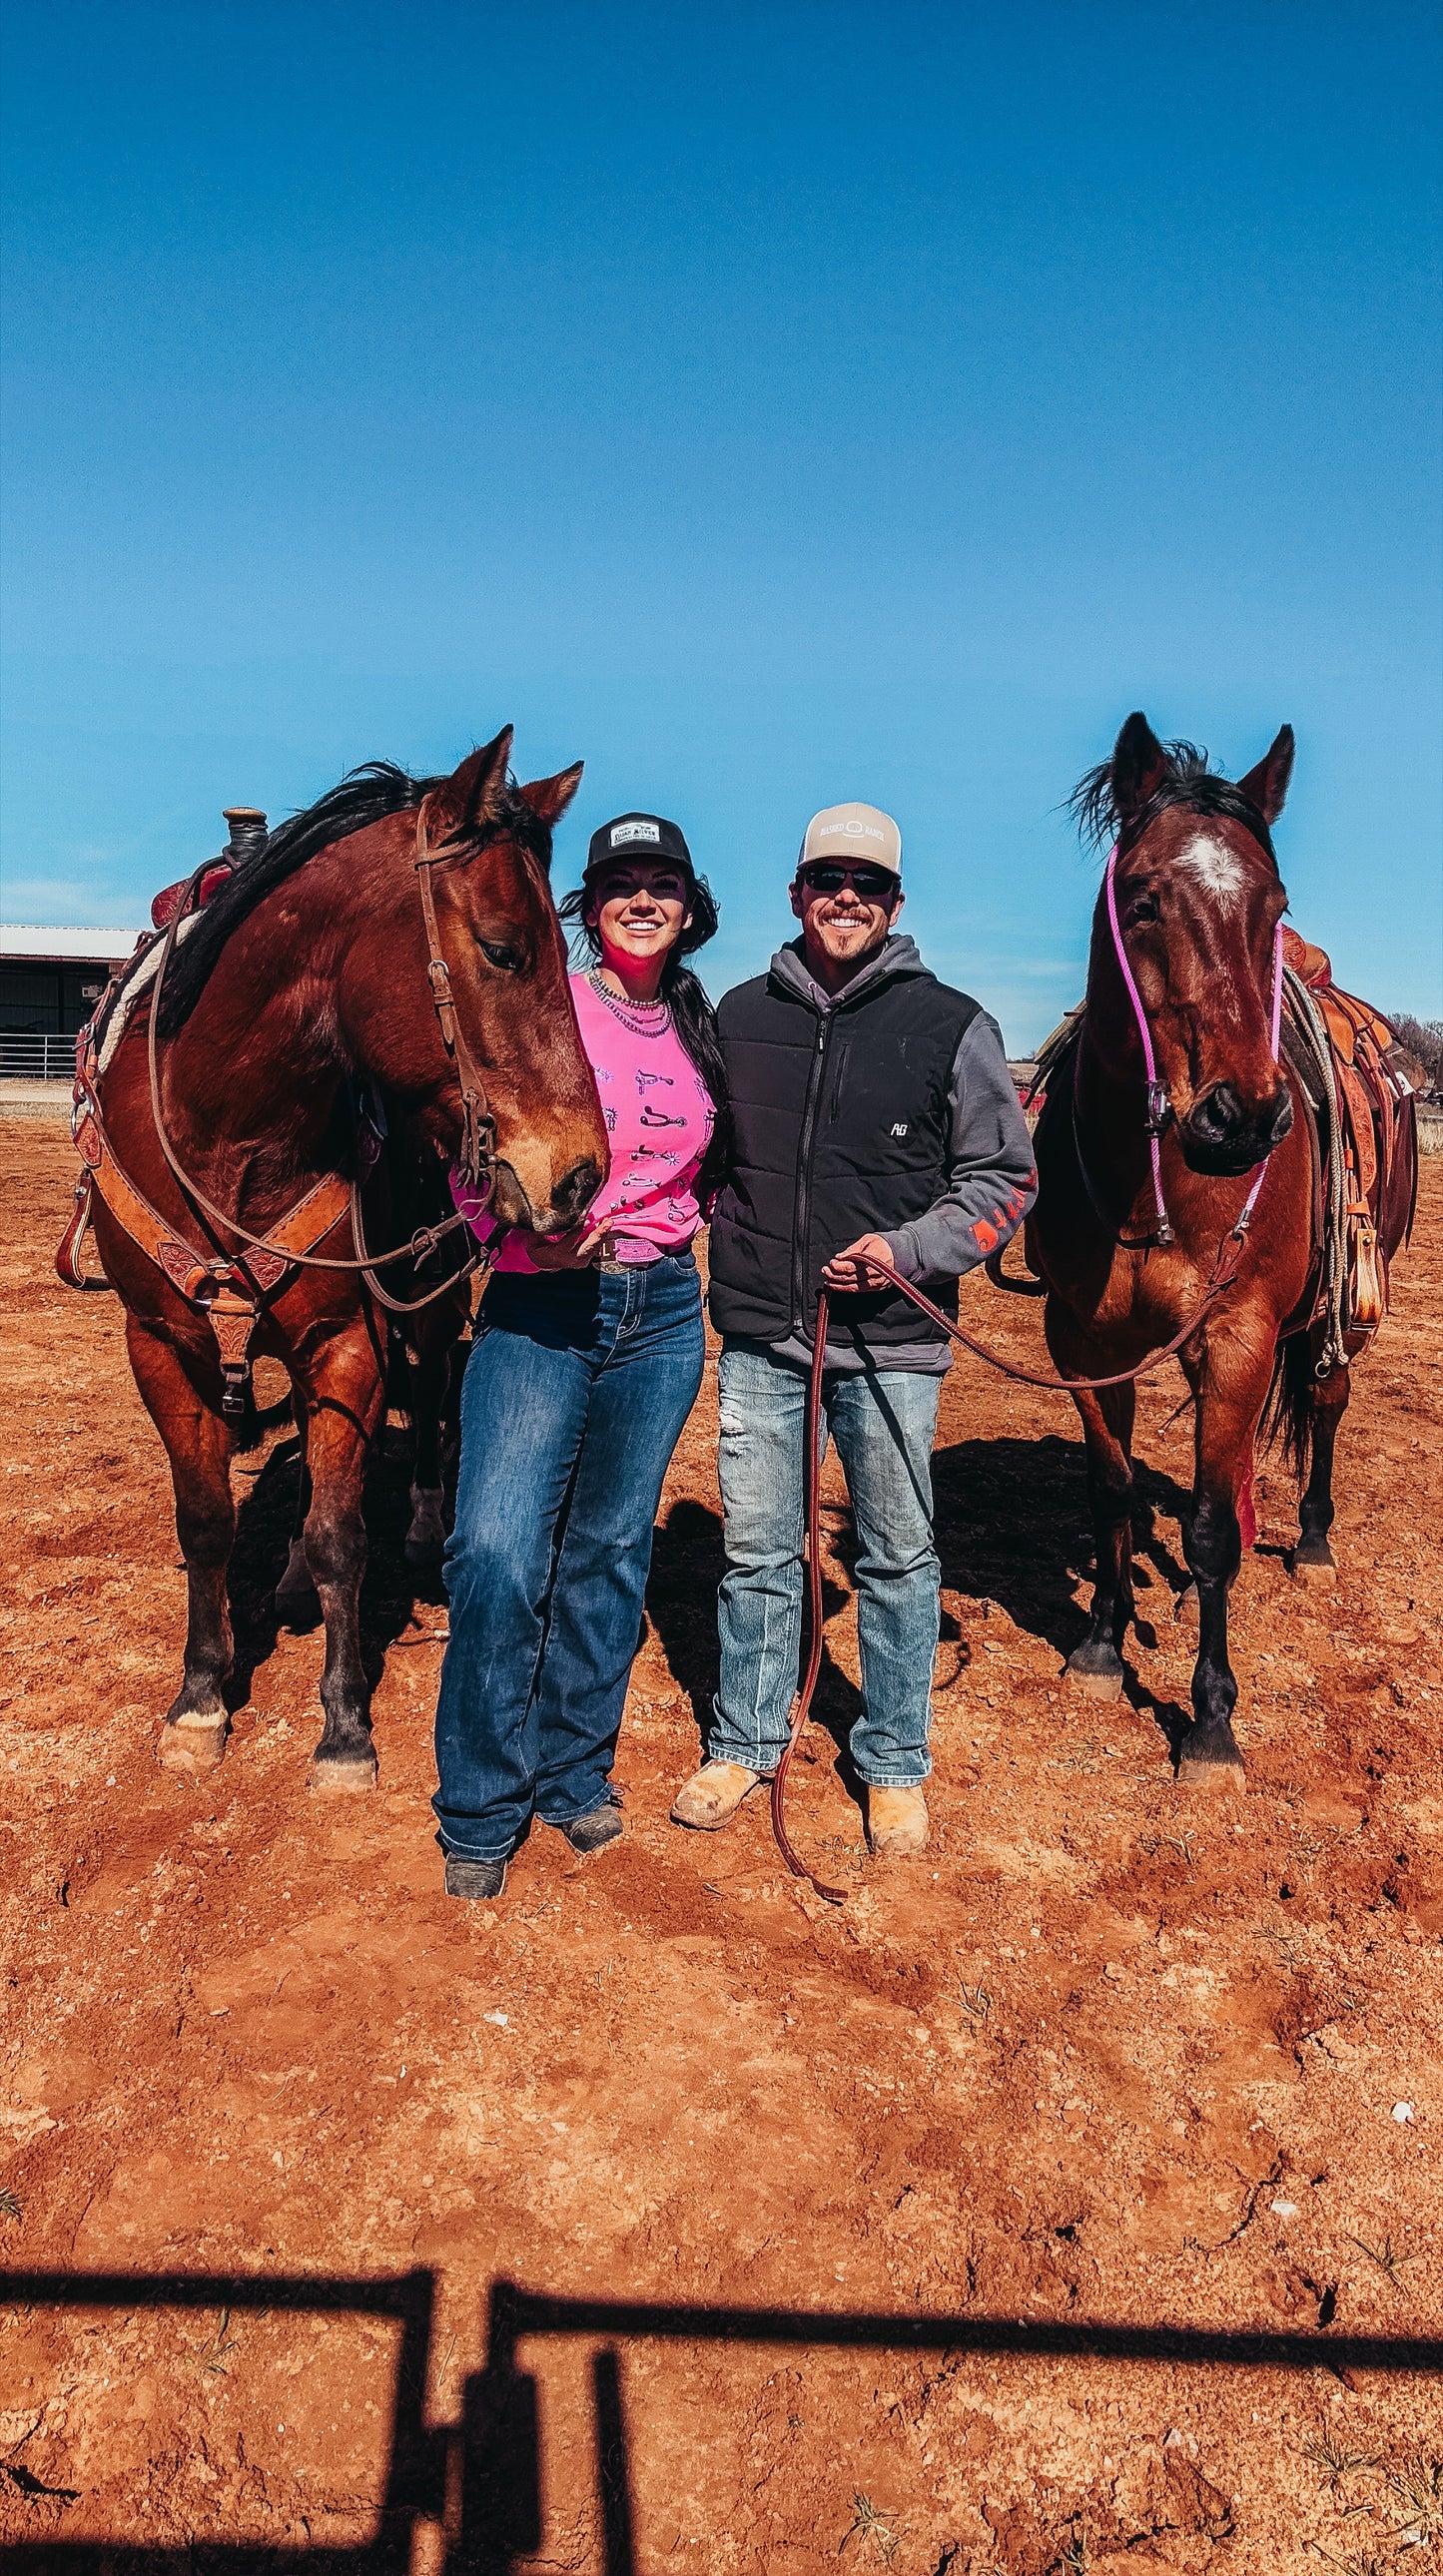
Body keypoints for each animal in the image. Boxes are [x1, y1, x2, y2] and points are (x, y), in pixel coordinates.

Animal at [76, 716, 605, 1782]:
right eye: (504, 950)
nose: (581, 1173)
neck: (223, 1128)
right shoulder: (158, 1339)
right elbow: (207, 1519)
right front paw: (199, 1701)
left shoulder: (347, 1342)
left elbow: (339, 1535)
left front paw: (345, 1725)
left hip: (429, 1295)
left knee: (433, 1395)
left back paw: (427, 1517)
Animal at [1031, 711, 1412, 1792]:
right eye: (1141, 899)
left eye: (1272, 905)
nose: (1240, 1118)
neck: (1152, 1183)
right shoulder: (1082, 1340)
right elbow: (1112, 1489)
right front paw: (1100, 1645)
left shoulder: (1241, 1333)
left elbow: (1202, 1533)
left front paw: (1209, 1722)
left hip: (1333, 1314)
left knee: (1322, 1404)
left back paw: (1310, 1539)